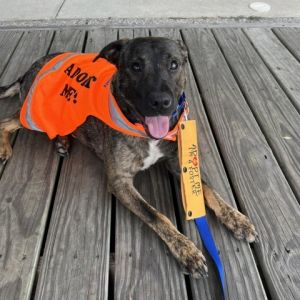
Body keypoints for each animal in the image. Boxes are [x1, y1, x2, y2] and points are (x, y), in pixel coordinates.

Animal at [0, 37, 258, 276]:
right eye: (136, 66)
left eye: (174, 64)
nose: (161, 102)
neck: (145, 131)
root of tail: (27, 71)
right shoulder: (120, 182)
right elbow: (156, 215)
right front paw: (186, 250)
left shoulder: (178, 165)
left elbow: (208, 190)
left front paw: (236, 218)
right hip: (35, 115)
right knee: (5, 122)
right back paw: (7, 147)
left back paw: (62, 141)